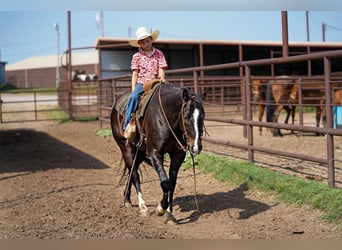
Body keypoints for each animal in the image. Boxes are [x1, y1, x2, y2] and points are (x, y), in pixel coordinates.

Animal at [111, 82, 204, 225]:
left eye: (203, 116)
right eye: (186, 116)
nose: (196, 147)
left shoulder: (178, 155)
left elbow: (172, 183)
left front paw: (169, 214)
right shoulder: (155, 152)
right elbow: (165, 183)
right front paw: (160, 209)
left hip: (139, 152)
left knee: (131, 171)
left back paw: (127, 199)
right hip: (126, 148)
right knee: (135, 175)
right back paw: (143, 207)